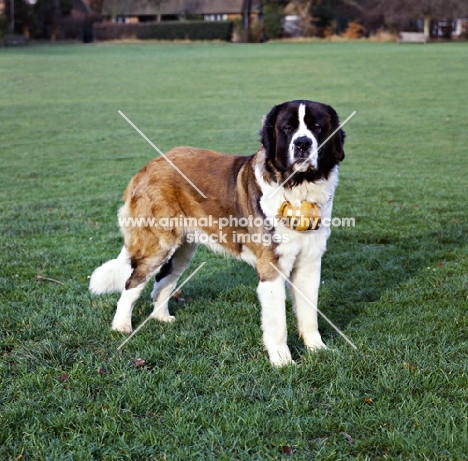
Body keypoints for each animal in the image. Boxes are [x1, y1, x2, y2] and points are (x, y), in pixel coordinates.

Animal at [88, 99, 344, 364]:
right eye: (288, 128)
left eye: (316, 127)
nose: (302, 143)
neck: (298, 187)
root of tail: (147, 167)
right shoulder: (271, 266)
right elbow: (277, 322)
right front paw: (283, 362)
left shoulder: (309, 264)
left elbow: (309, 313)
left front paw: (318, 348)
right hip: (157, 246)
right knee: (132, 283)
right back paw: (121, 327)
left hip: (182, 249)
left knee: (163, 282)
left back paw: (162, 318)